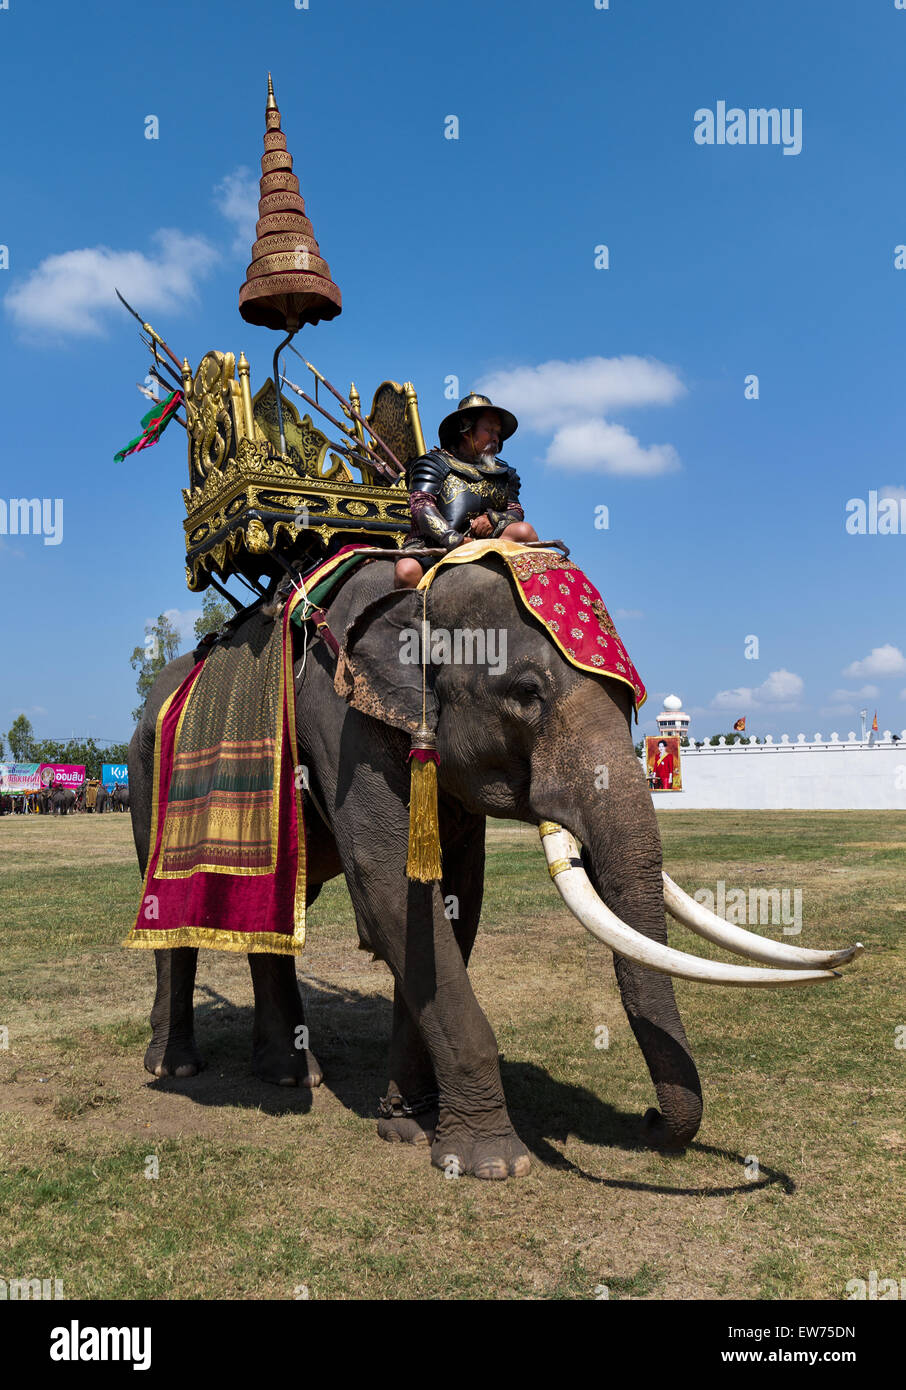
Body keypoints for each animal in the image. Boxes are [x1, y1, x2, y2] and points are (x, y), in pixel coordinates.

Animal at [125, 547, 855, 1178]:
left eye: (634, 703)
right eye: (527, 692)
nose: (649, 1119)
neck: (422, 583)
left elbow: (451, 901)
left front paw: (408, 1124)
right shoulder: (343, 728)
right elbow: (390, 890)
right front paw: (491, 1164)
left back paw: (289, 1074)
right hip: (144, 775)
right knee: (172, 923)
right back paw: (177, 1068)